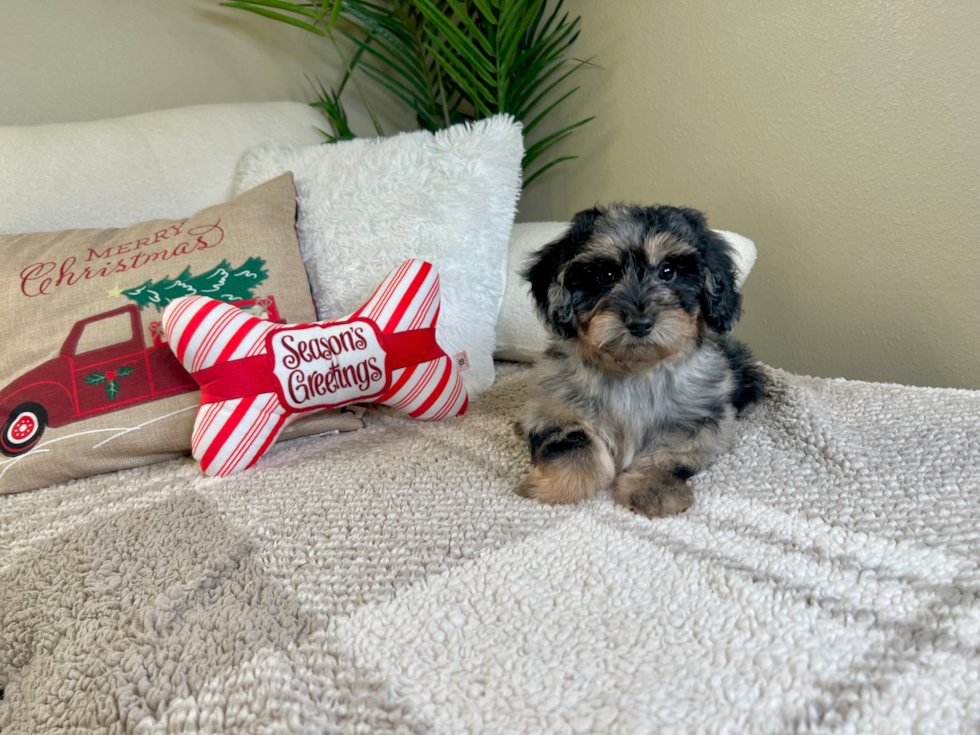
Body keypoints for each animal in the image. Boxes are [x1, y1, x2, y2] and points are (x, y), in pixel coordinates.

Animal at [516, 204, 768, 520]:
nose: (640, 323)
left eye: (668, 271)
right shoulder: (549, 409)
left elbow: (672, 455)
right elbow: (576, 441)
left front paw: (653, 491)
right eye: (606, 274)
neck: (635, 372)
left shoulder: (707, 421)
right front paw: (559, 485)